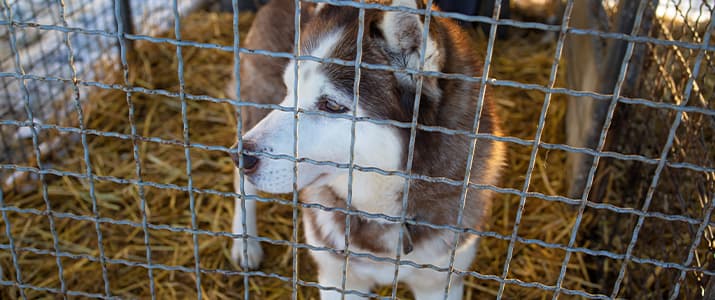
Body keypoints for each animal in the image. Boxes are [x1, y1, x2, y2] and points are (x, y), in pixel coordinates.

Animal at [228, 0, 504, 298]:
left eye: (332, 105)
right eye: (290, 89)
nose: (240, 155)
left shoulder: (442, 281)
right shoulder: (337, 276)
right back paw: (246, 244)